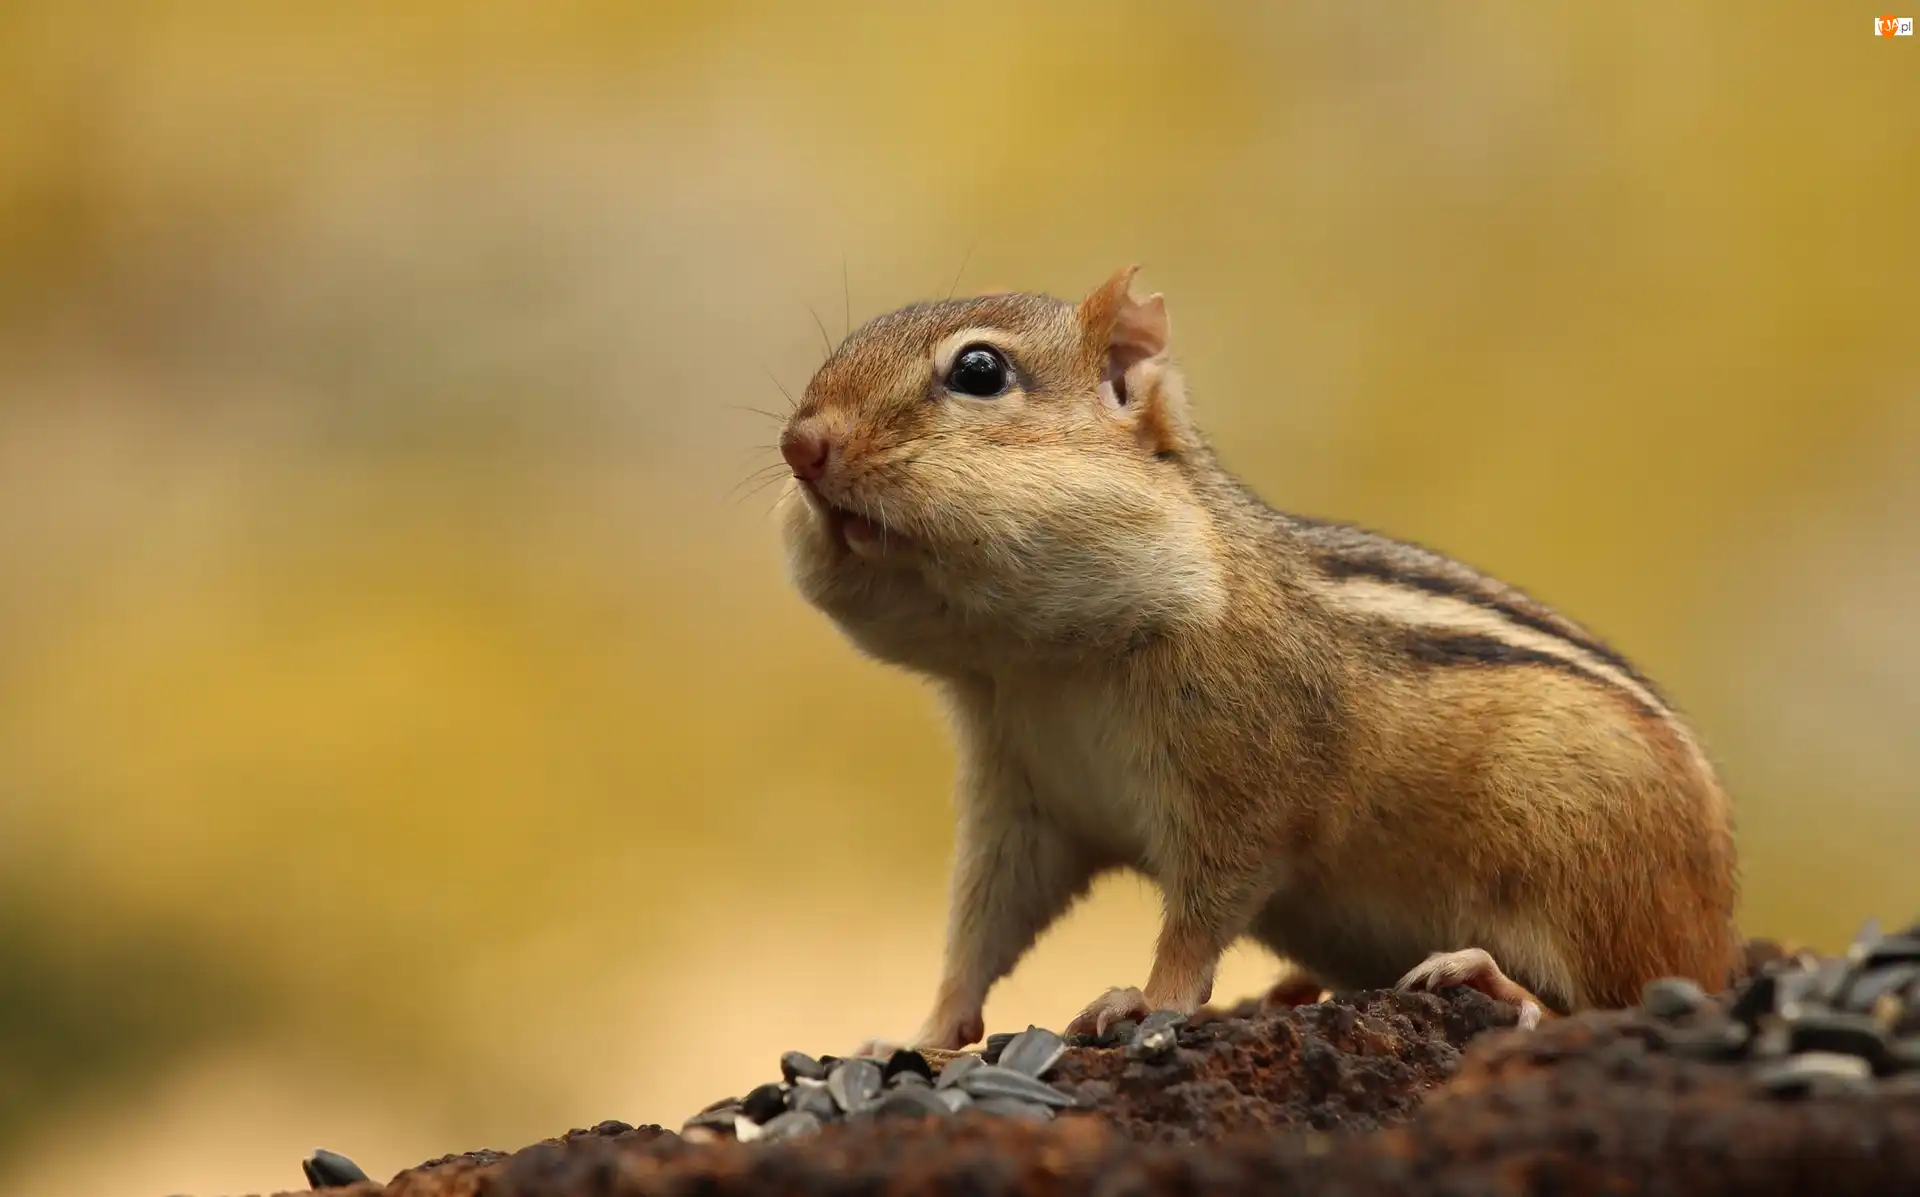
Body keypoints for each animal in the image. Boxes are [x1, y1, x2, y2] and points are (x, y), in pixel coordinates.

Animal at [774, 266, 1742, 1047]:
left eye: (979, 372)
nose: (800, 445)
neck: (1046, 663)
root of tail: (1717, 938)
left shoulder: (1246, 780)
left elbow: (1201, 916)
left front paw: (1144, 999)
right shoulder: (1024, 798)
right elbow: (981, 926)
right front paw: (923, 1031)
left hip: (1585, 859)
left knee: (1616, 998)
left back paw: (1490, 977)